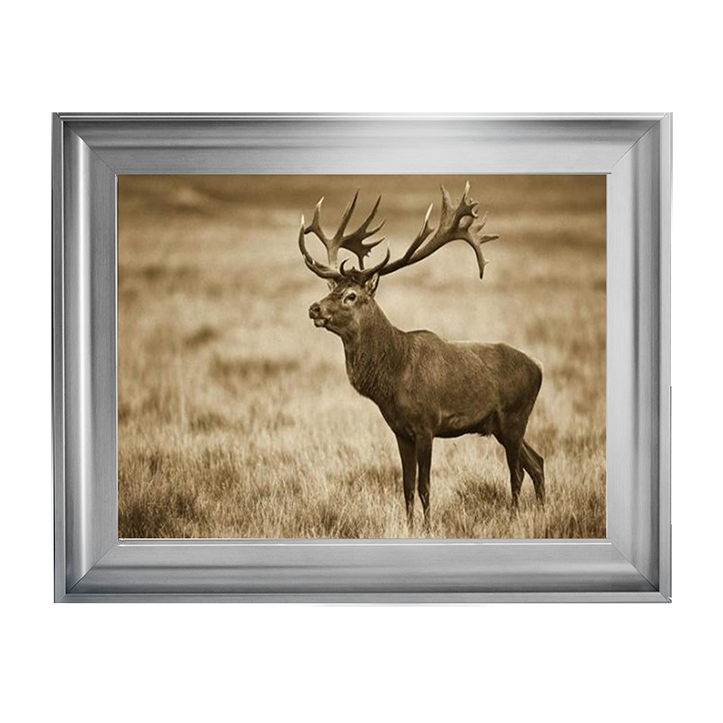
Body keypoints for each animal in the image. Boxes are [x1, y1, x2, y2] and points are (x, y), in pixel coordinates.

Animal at [298, 182, 545, 531]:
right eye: (330, 289)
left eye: (351, 296)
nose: (314, 308)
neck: (392, 378)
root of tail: (539, 369)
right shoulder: (400, 431)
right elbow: (406, 486)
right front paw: (409, 526)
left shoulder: (427, 424)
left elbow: (425, 486)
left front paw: (427, 528)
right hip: (501, 425)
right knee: (537, 462)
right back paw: (542, 511)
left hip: (514, 417)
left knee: (517, 472)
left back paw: (514, 517)